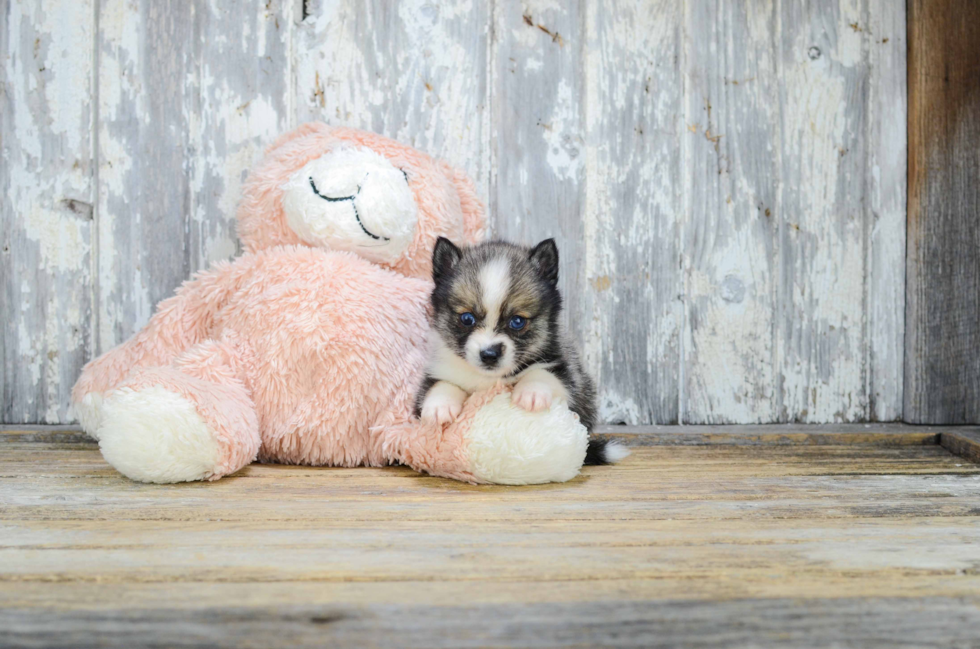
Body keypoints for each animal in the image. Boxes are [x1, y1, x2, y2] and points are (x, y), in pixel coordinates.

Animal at [414, 235, 628, 464]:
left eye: (517, 321)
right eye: (467, 318)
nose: (489, 354)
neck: (489, 379)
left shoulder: (568, 377)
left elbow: (543, 373)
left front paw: (530, 392)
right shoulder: (438, 372)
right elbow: (441, 384)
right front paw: (439, 406)